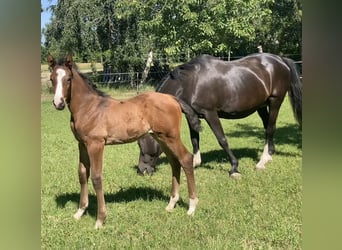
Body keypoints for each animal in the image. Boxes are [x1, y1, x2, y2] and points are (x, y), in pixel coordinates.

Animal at [46, 53, 199, 229]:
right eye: (52, 79)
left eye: (69, 79)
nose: (59, 103)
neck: (88, 108)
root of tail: (172, 98)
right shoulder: (82, 144)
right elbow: (83, 174)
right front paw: (80, 212)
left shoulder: (96, 144)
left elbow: (96, 177)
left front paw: (100, 219)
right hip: (161, 137)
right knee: (175, 162)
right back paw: (171, 204)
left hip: (171, 136)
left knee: (186, 158)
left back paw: (192, 207)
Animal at [138, 53, 300, 178]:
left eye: (141, 143)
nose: (141, 170)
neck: (190, 83)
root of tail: (280, 59)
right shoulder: (192, 115)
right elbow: (194, 139)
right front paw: (194, 163)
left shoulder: (210, 113)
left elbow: (222, 140)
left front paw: (234, 168)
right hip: (261, 106)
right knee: (268, 127)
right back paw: (270, 154)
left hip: (275, 101)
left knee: (270, 128)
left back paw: (262, 161)